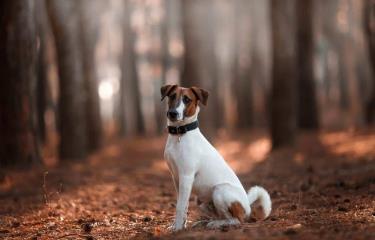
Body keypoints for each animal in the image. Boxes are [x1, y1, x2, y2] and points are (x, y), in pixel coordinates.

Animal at [160, 84, 272, 231]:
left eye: (187, 99)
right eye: (172, 96)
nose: (172, 113)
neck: (180, 135)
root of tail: (247, 204)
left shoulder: (186, 176)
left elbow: (180, 206)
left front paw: (178, 229)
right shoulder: (176, 178)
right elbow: (183, 205)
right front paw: (179, 225)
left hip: (220, 191)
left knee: (236, 220)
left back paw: (216, 224)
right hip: (201, 201)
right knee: (221, 215)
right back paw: (204, 223)